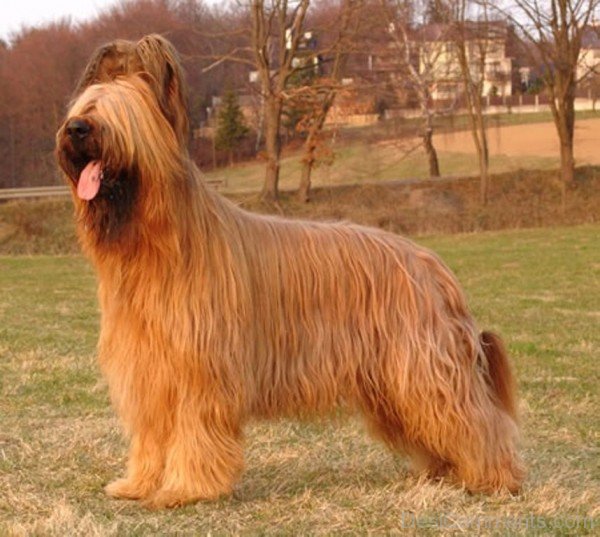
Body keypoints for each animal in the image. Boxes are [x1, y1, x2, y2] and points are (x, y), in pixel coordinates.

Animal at [57, 67, 524, 506]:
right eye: (82, 108)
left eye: (115, 112)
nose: (77, 128)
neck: (157, 245)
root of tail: (434, 265)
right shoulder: (148, 374)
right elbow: (152, 437)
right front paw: (139, 484)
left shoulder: (202, 371)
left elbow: (196, 431)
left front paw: (187, 488)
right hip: (393, 387)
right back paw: (443, 473)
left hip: (423, 371)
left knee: (477, 420)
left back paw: (495, 478)